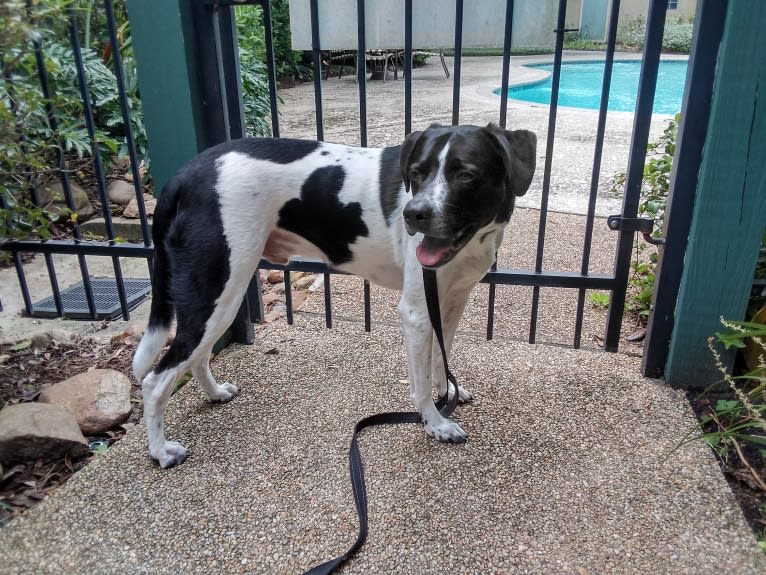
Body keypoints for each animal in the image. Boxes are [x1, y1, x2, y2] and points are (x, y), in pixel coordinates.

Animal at [132, 122, 536, 468]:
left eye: (466, 175)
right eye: (417, 174)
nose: (413, 214)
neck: (472, 240)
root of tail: (185, 174)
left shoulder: (451, 303)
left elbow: (441, 356)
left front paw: (448, 392)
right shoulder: (417, 313)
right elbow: (420, 383)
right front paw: (434, 423)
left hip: (225, 295)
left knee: (198, 355)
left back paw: (215, 394)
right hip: (217, 289)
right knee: (155, 380)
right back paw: (160, 452)